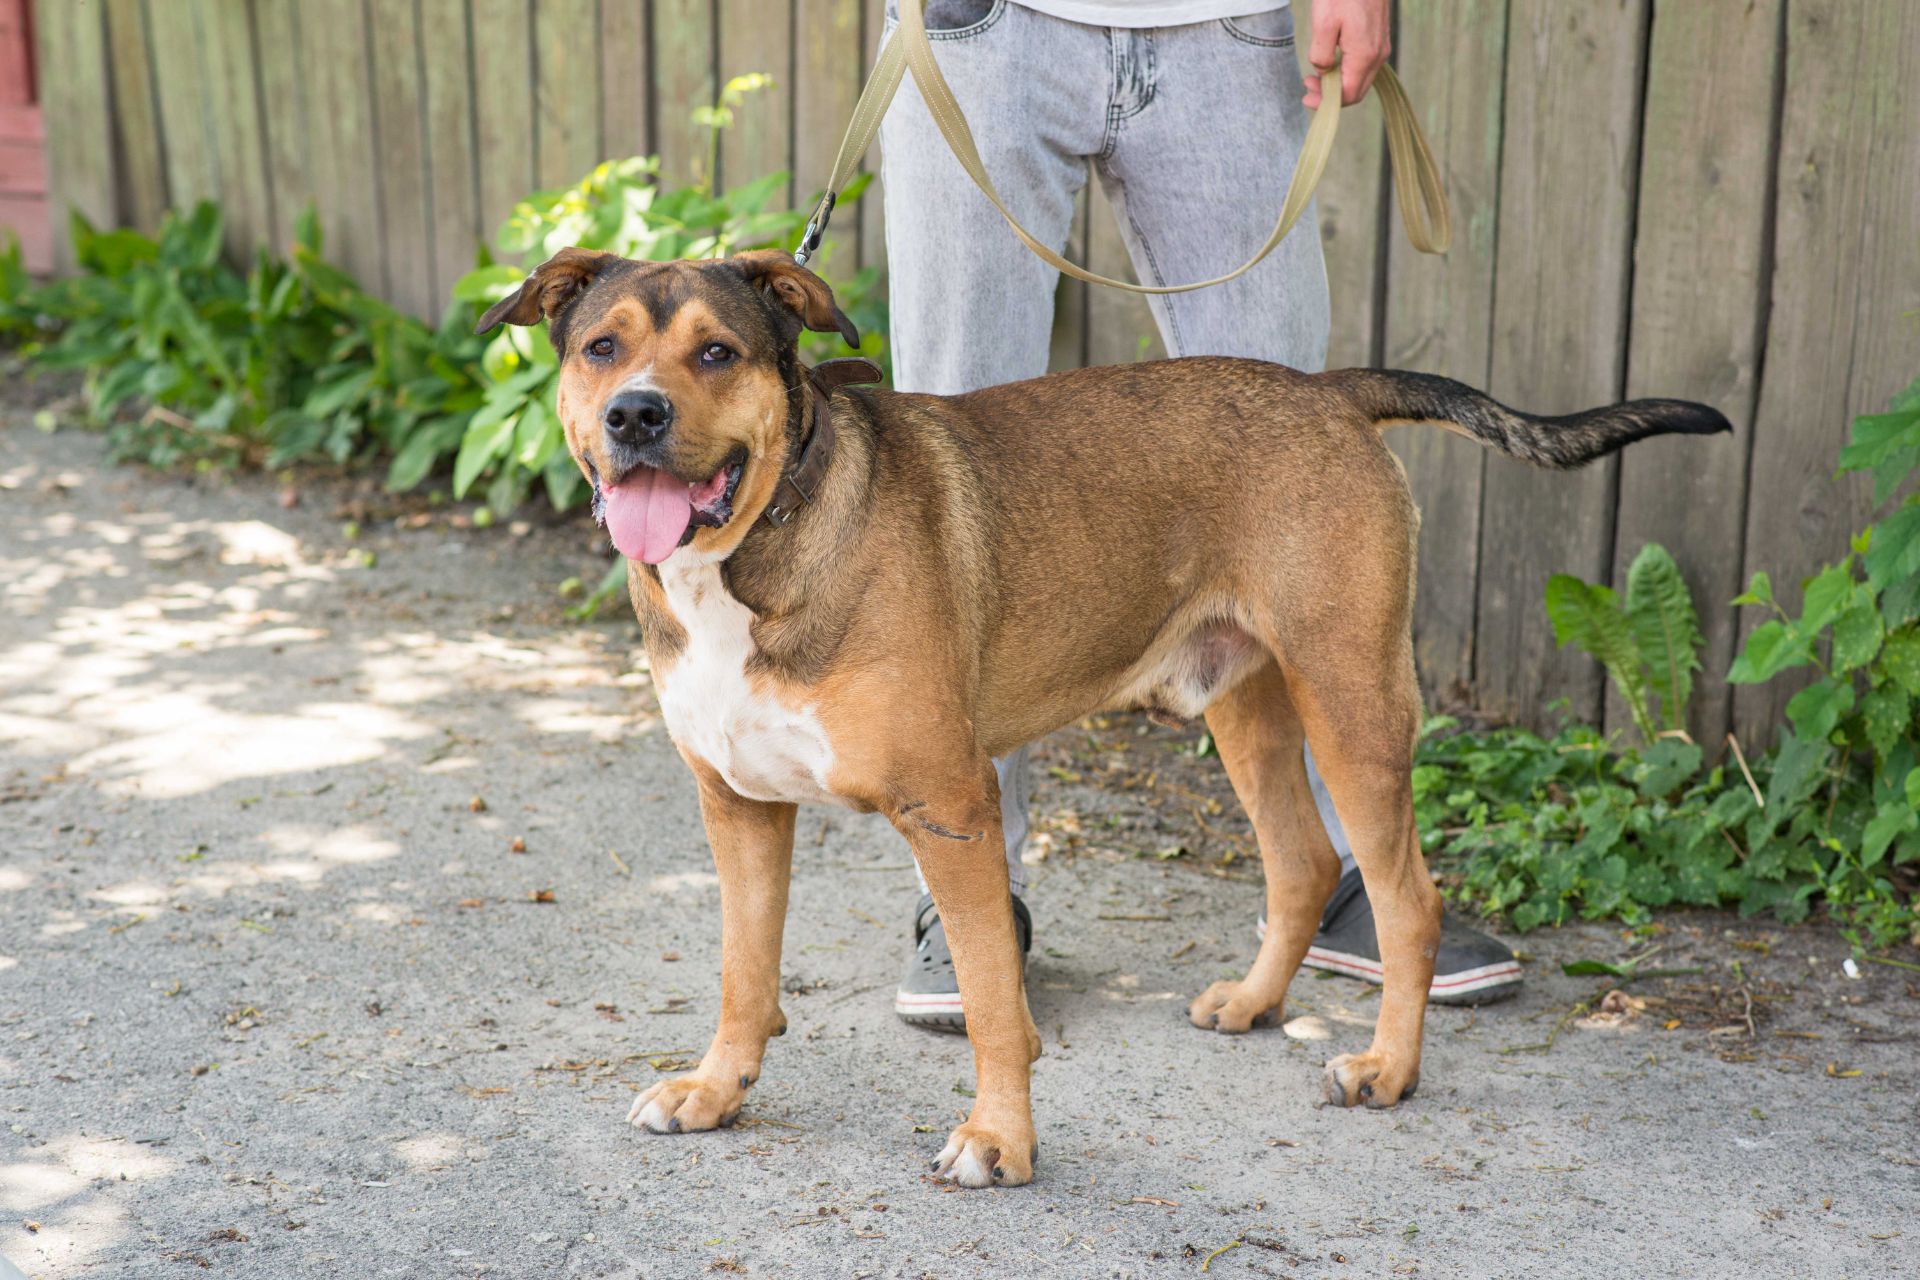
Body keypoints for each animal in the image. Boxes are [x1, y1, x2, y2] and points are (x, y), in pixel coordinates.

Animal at [476, 247, 1728, 1189]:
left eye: (718, 353)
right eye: (600, 347)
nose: (637, 415)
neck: (759, 543)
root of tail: (1326, 390)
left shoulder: (952, 808)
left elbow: (991, 1000)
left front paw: (999, 1138)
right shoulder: (737, 805)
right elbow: (744, 972)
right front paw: (716, 1088)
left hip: (1352, 703)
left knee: (1406, 898)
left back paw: (1386, 1067)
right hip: (1248, 707)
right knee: (1301, 860)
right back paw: (1257, 1003)